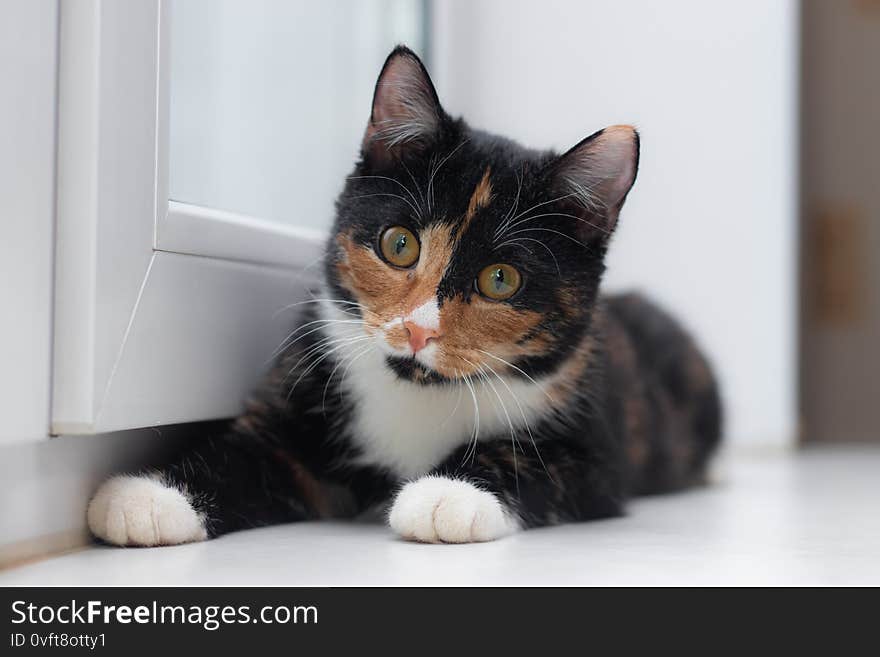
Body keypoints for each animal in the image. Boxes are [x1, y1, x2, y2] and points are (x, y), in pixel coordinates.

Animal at [87, 46, 720, 544]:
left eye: (500, 279)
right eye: (399, 245)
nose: (419, 328)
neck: (421, 392)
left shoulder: (596, 454)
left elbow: (529, 459)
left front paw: (448, 495)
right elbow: (253, 450)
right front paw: (151, 498)